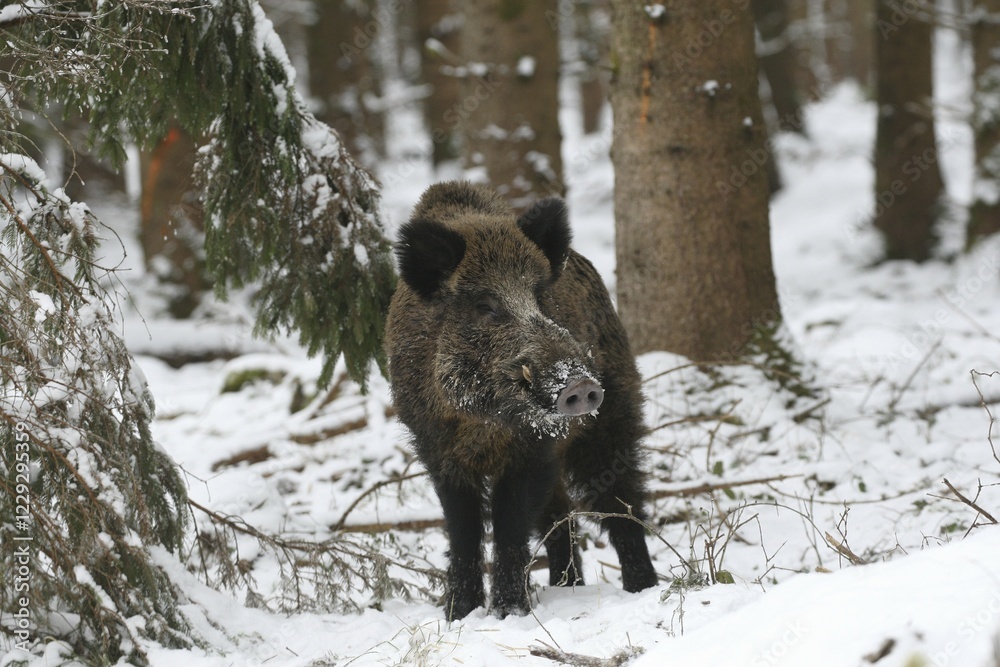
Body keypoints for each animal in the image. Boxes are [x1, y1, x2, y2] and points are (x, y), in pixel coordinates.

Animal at [385, 181, 658, 620]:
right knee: (561, 514)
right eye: (485, 306)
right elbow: (463, 530)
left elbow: (511, 527)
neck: (486, 422)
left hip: (613, 413)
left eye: (540, 294)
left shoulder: (534, 451)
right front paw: (459, 615)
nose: (579, 385)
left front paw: (510, 613)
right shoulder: (437, 451)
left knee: (622, 500)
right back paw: (569, 588)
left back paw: (643, 588)